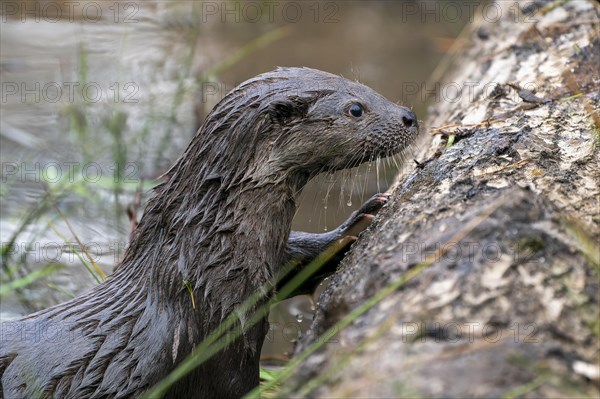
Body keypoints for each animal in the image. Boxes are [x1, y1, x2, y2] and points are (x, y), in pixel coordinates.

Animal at [0, 67, 420, 398]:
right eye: (355, 108)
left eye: (364, 86)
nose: (410, 117)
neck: (202, 262)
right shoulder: (222, 348)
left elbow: (294, 261)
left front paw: (360, 220)